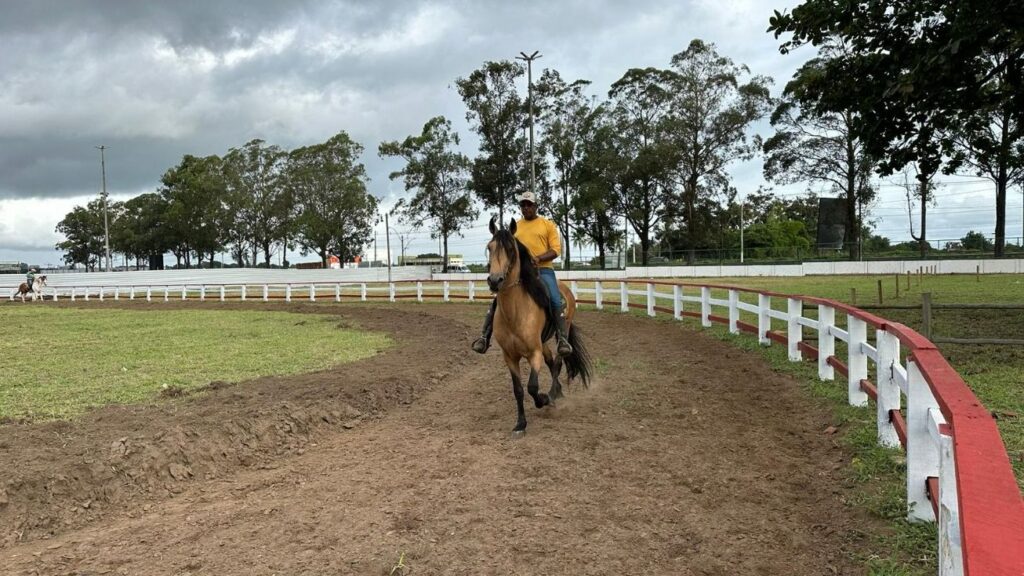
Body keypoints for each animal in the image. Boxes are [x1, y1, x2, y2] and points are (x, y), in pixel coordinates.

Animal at [485, 216, 593, 434]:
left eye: (511, 249)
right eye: (489, 247)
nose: (494, 280)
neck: (515, 313)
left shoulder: (533, 353)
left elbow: (532, 387)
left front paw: (543, 399)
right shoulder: (510, 356)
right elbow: (518, 390)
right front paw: (520, 424)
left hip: (562, 333)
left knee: (558, 361)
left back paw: (552, 394)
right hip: (542, 343)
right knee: (551, 362)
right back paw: (557, 392)